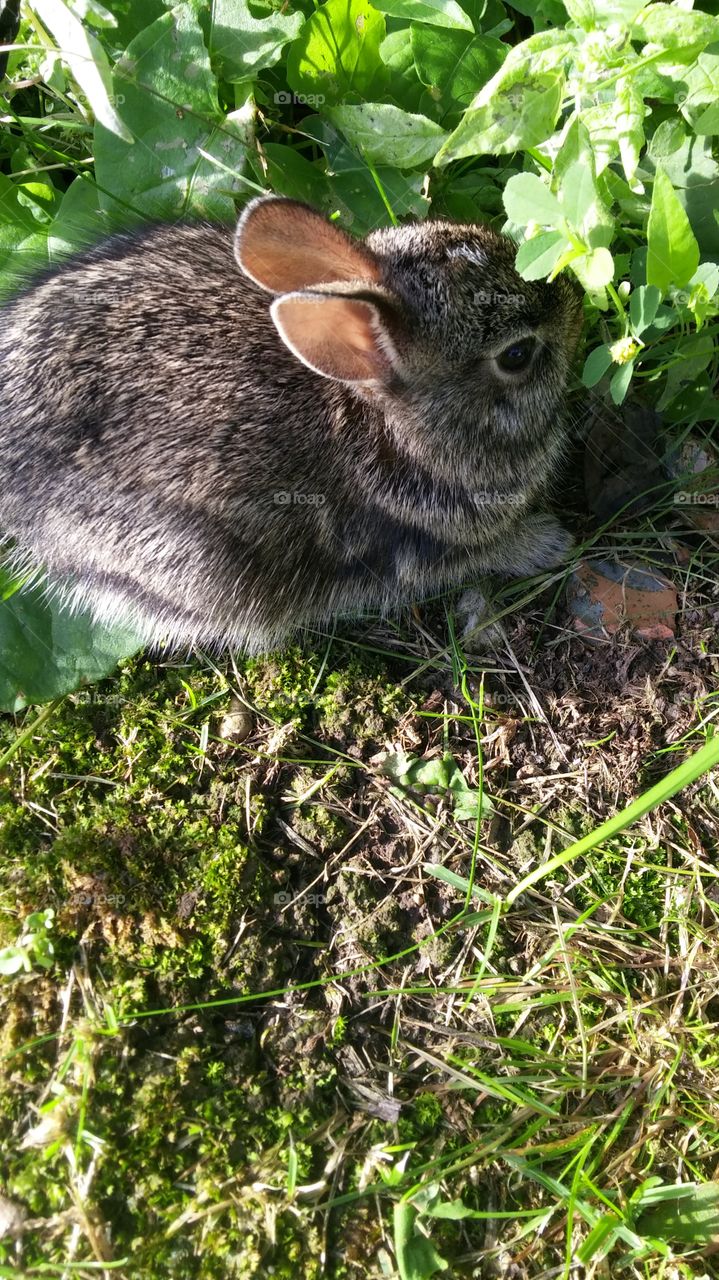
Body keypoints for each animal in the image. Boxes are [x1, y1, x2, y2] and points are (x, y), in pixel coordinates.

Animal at [0, 196, 583, 654]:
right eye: (517, 355)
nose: (576, 298)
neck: (387, 424)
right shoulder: (412, 550)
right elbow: (476, 556)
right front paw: (545, 543)